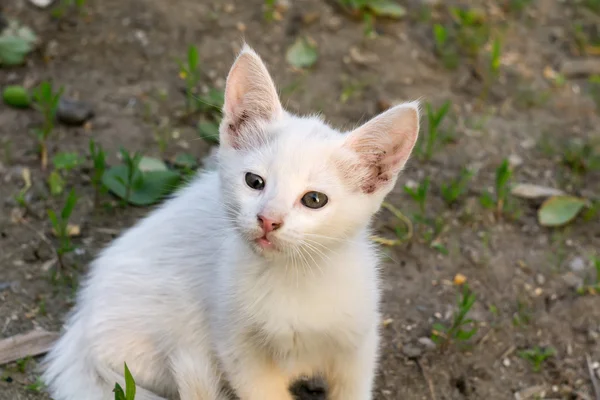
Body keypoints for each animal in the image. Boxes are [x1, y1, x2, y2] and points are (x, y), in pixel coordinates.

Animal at [42, 44, 420, 400]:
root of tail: (80, 323)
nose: (268, 220)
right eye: (254, 181)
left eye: (314, 200)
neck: (293, 277)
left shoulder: (358, 339)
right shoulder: (234, 345)